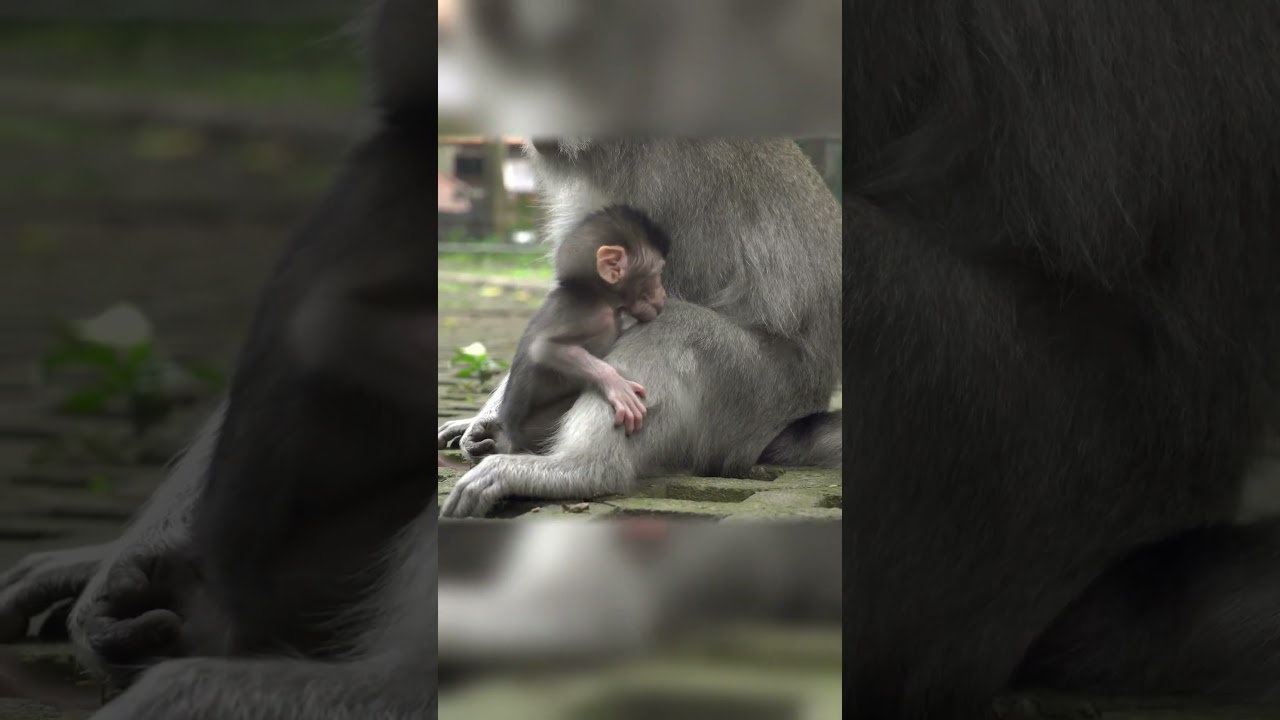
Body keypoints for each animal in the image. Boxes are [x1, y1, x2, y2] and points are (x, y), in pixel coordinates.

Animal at [491, 204, 670, 456]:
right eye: (657, 272)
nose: (663, 293)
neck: (598, 294)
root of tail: (507, 439)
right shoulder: (590, 314)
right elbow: (545, 348)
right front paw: (615, 383)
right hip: (534, 429)